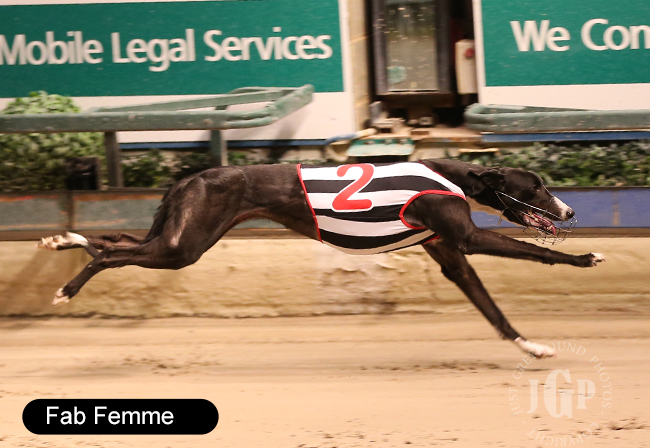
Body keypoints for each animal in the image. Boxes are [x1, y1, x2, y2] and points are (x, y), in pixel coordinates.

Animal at [38, 159, 604, 358]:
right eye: (537, 185)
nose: (571, 209)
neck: (455, 176)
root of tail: (192, 177)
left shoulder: (450, 255)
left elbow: (492, 310)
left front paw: (533, 346)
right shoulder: (463, 237)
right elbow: (536, 253)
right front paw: (585, 258)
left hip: (180, 236)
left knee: (112, 241)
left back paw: (62, 240)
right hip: (184, 247)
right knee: (111, 255)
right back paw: (64, 287)